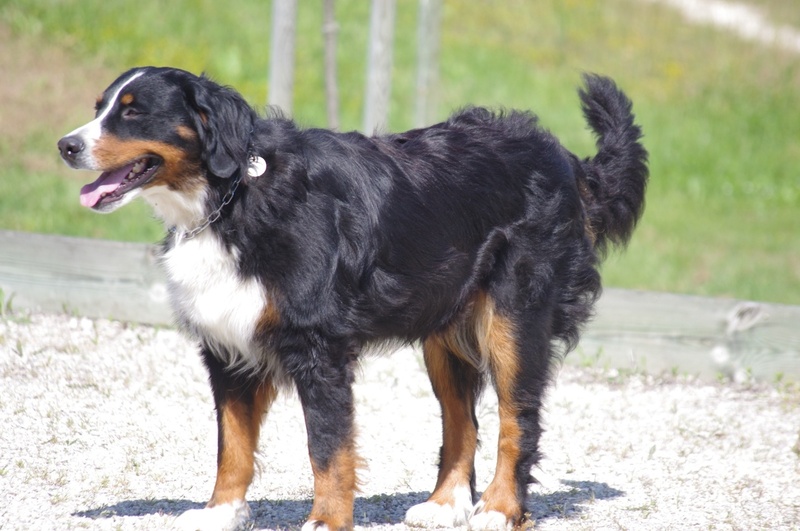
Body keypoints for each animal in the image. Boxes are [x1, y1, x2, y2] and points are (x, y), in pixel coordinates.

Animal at [59, 67, 648, 531]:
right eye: (99, 108)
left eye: (134, 113)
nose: (66, 145)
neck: (231, 198)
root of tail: (562, 157)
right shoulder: (228, 347)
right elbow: (233, 444)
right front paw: (221, 512)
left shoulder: (318, 349)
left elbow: (328, 448)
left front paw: (326, 519)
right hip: (444, 331)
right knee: (463, 422)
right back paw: (443, 504)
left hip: (513, 320)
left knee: (516, 419)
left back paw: (500, 509)